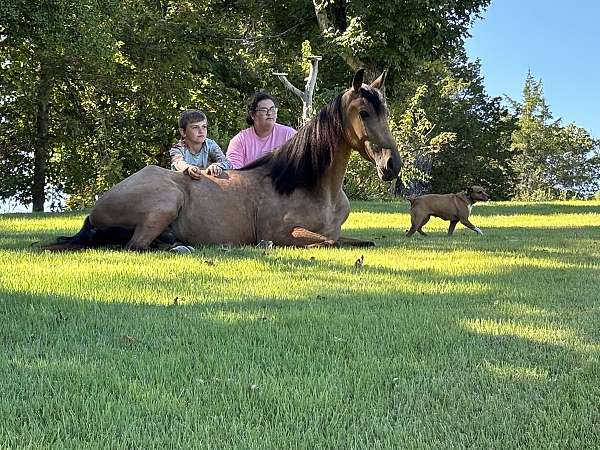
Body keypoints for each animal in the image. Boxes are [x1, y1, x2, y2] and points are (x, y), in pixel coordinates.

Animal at [44, 69, 400, 251]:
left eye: (384, 110)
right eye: (364, 113)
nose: (392, 166)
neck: (310, 187)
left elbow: (360, 241)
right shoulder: (283, 234)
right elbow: (327, 241)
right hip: (166, 202)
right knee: (136, 245)